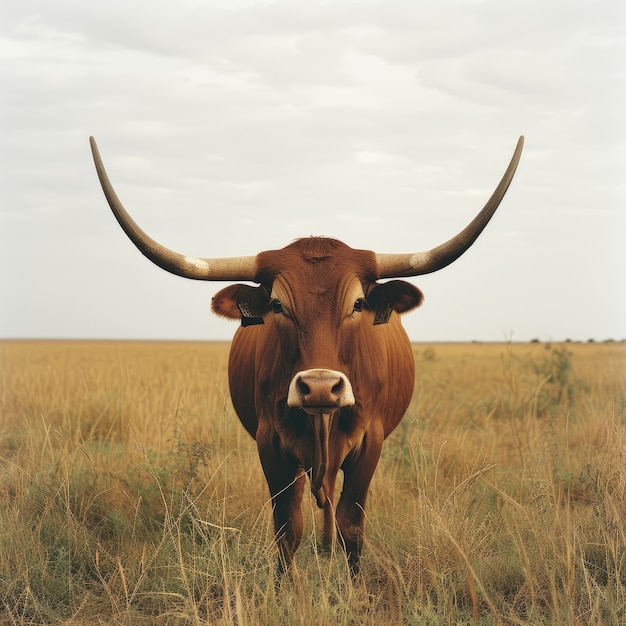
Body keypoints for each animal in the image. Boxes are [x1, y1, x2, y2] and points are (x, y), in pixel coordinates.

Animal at [88, 134, 520, 572]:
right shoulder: (270, 445)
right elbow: (287, 528)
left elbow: (351, 526)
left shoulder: (371, 442)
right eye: (277, 305)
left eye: (358, 304)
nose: (320, 387)